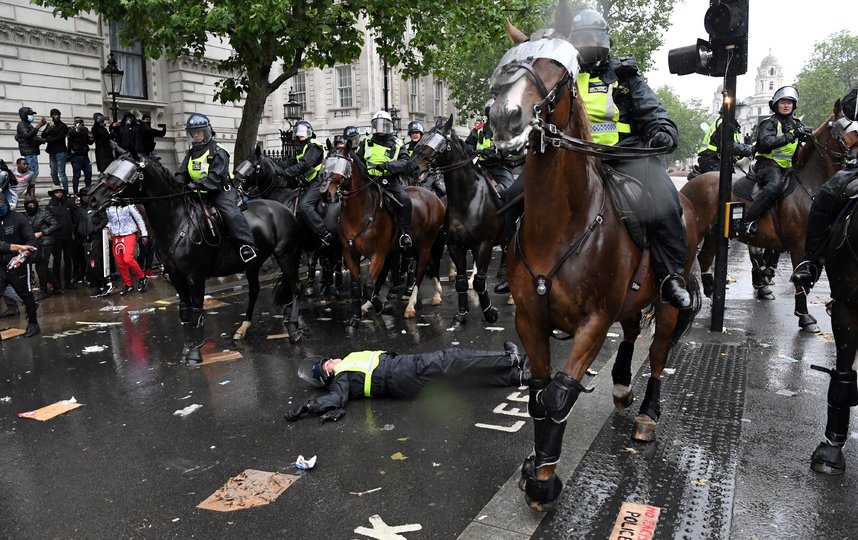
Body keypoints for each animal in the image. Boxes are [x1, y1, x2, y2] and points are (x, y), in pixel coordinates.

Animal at [88, 156, 302, 368]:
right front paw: (187, 348)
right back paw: (244, 327)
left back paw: (294, 329)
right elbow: (185, 311)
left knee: (295, 287)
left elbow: (197, 312)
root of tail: (284, 208)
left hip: (285, 254)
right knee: (255, 291)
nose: (91, 198)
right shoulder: (176, 277)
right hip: (252, 264)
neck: (177, 222)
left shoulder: (195, 277)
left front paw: (194, 354)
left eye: (124, 174)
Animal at [320, 142, 444, 324]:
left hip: (425, 244)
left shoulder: (378, 254)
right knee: (432, 264)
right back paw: (437, 294)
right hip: (417, 245)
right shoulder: (350, 253)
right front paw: (356, 316)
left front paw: (384, 307)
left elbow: (369, 285)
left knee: (420, 273)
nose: (325, 193)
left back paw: (410, 306)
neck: (361, 212)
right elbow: (357, 286)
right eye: (326, 163)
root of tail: (435, 198)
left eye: (342, 165)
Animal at [412, 115, 504, 324]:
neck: (467, 199)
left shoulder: (485, 244)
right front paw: (461, 314)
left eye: (438, 143)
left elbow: (479, 282)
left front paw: (490, 312)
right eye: (424, 137)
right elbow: (461, 282)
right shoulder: (455, 245)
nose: (413, 167)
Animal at [488, 3, 704, 510]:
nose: (504, 119)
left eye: (558, 73)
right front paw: (535, 467)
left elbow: (558, 396)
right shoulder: (529, 318)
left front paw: (545, 480)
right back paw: (622, 382)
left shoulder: (592, 321)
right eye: (507, 65)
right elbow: (538, 394)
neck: (561, 226)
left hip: (666, 299)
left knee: (659, 351)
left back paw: (647, 412)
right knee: (632, 331)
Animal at [680, 104, 844, 334]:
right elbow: (795, 277)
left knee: (704, 258)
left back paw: (713, 292)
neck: (809, 187)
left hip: (713, 231)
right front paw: (805, 317)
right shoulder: (798, 244)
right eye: (843, 129)